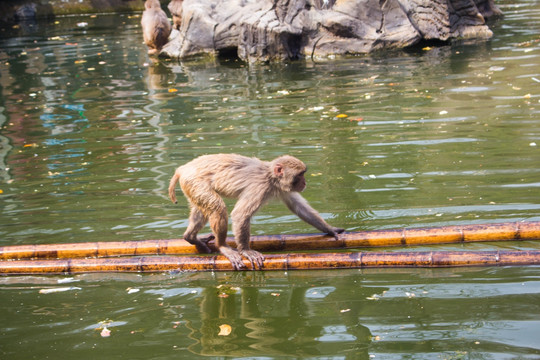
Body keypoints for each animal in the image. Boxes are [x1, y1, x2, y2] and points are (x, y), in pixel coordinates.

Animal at [169, 153, 346, 270]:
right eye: (300, 175)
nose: (305, 182)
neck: (271, 177)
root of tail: (183, 168)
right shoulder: (260, 187)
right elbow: (240, 214)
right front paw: (245, 250)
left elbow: (298, 207)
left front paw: (330, 229)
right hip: (195, 182)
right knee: (217, 207)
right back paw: (222, 246)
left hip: (191, 186)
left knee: (201, 209)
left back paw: (190, 237)